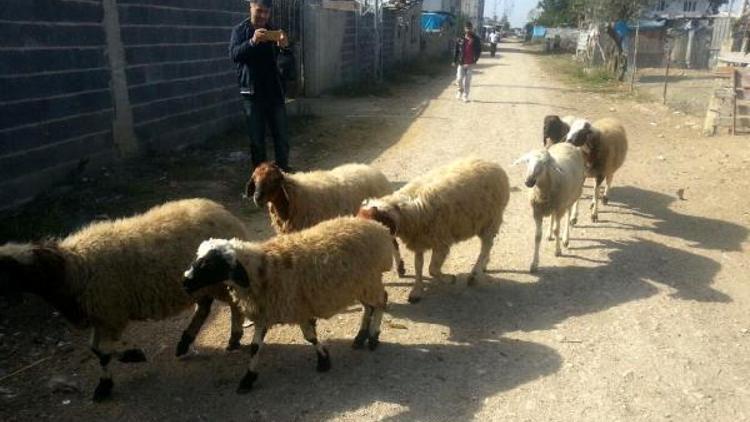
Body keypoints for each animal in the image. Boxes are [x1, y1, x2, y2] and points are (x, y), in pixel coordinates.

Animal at [0, 199, 253, 402]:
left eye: (10, 271)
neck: (73, 267)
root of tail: (225, 213)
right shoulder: (101, 316)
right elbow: (95, 350)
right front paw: (111, 378)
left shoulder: (110, 314)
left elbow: (102, 351)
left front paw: (127, 361)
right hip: (198, 284)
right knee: (205, 307)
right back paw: (185, 342)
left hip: (217, 281)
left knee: (233, 305)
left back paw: (234, 337)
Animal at [183, 216, 394, 394]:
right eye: (197, 258)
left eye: (210, 264)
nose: (185, 281)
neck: (264, 269)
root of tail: (378, 228)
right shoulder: (264, 313)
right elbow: (255, 347)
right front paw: (248, 379)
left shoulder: (297, 307)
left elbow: (310, 337)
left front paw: (323, 360)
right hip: (359, 284)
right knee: (369, 306)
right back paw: (360, 336)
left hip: (369, 281)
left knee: (381, 301)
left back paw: (373, 337)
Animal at [247, 162, 406, 274]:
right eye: (254, 179)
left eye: (274, 180)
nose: (257, 198)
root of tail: (373, 171)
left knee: (394, 243)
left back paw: (400, 268)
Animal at [356, 158, 512, 304]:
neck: (404, 212)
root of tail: (491, 163)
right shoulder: (419, 241)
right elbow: (418, 266)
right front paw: (416, 291)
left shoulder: (441, 243)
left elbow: (432, 269)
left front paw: (449, 279)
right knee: (488, 245)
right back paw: (484, 265)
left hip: (490, 221)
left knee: (486, 246)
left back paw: (475, 273)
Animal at [516, 143, 588, 274]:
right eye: (527, 161)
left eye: (544, 163)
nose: (528, 182)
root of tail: (567, 143)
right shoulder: (537, 212)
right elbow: (537, 236)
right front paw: (534, 264)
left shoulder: (560, 208)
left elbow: (557, 230)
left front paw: (558, 251)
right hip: (554, 205)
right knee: (552, 217)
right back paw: (549, 234)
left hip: (572, 196)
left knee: (568, 213)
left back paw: (565, 238)